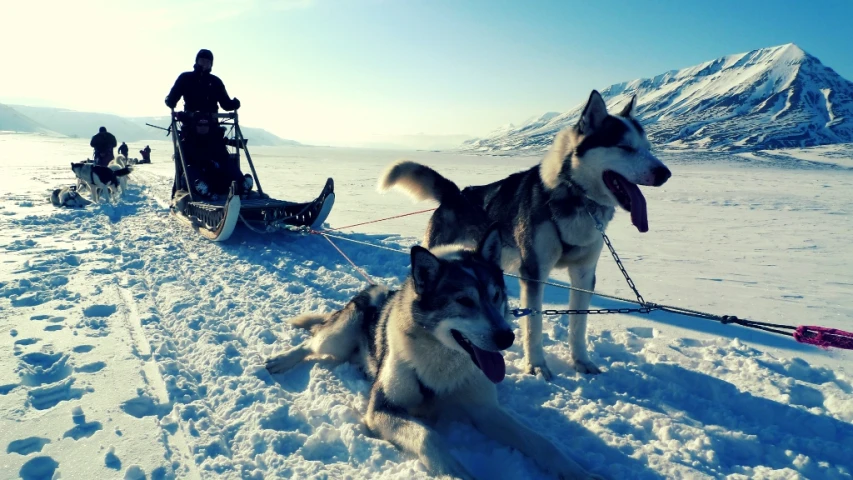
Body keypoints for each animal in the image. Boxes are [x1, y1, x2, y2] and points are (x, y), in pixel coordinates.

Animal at [266, 228, 600, 480]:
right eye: (464, 301)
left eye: (496, 296)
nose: (507, 337)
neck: (443, 364)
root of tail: (374, 289)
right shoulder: (382, 409)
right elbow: (428, 436)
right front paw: (455, 472)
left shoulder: (485, 410)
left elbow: (541, 442)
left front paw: (578, 471)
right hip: (337, 338)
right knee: (311, 344)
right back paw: (280, 361)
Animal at [382, 92, 672, 380]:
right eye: (624, 147)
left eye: (648, 147)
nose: (665, 173)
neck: (574, 198)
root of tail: (456, 193)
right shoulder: (534, 272)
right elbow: (534, 324)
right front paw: (537, 366)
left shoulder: (584, 273)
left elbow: (578, 325)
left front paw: (581, 361)